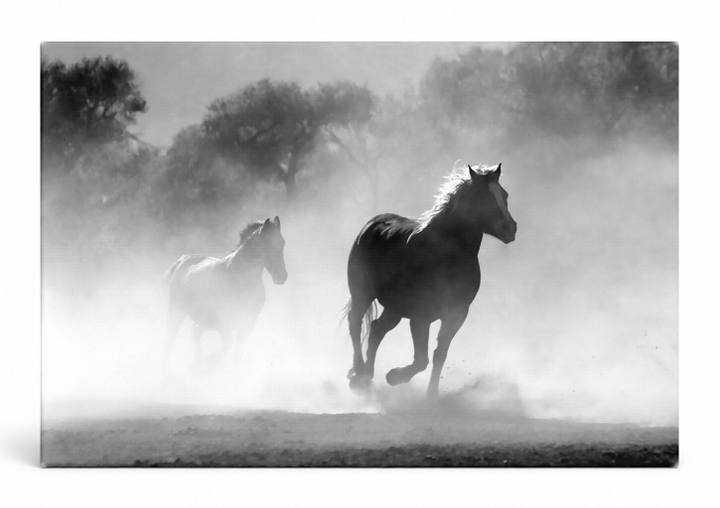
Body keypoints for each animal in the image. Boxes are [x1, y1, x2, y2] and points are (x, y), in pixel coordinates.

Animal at [164, 216, 287, 363]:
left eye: (282, 243)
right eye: (267, 244)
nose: (282, 277)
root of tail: (181, 260)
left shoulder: (247, 323)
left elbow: (236, 353)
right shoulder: (225, 323)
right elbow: (226, 347)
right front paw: (212, 360)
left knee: (195, 332)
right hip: (177, 311)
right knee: (170, 340)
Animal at [345, 162, 516, 398]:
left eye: (504, 194)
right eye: (482, 196)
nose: (510, 228)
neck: (446, 255)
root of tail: (372, 224)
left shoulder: (456, 314)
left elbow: (439, 354)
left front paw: (432, 395)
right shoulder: (421, 316)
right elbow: (421, 360)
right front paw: (394, 377)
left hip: (395, 308)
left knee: (377, 329)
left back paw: (367, 376)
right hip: (362, 293)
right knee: (355, 322)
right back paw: (359, 375)